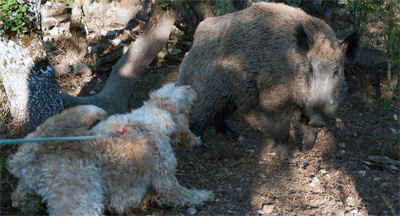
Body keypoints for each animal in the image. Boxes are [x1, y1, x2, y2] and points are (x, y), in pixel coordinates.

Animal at [7, 83, 214, 216]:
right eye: (184, 96)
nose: (192, 88)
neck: (152, 120)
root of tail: (40, 148)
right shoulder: (166, 182)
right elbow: (185, 194)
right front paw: (205, 195)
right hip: (83, 204)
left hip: (27, 186)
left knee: (18, 197)